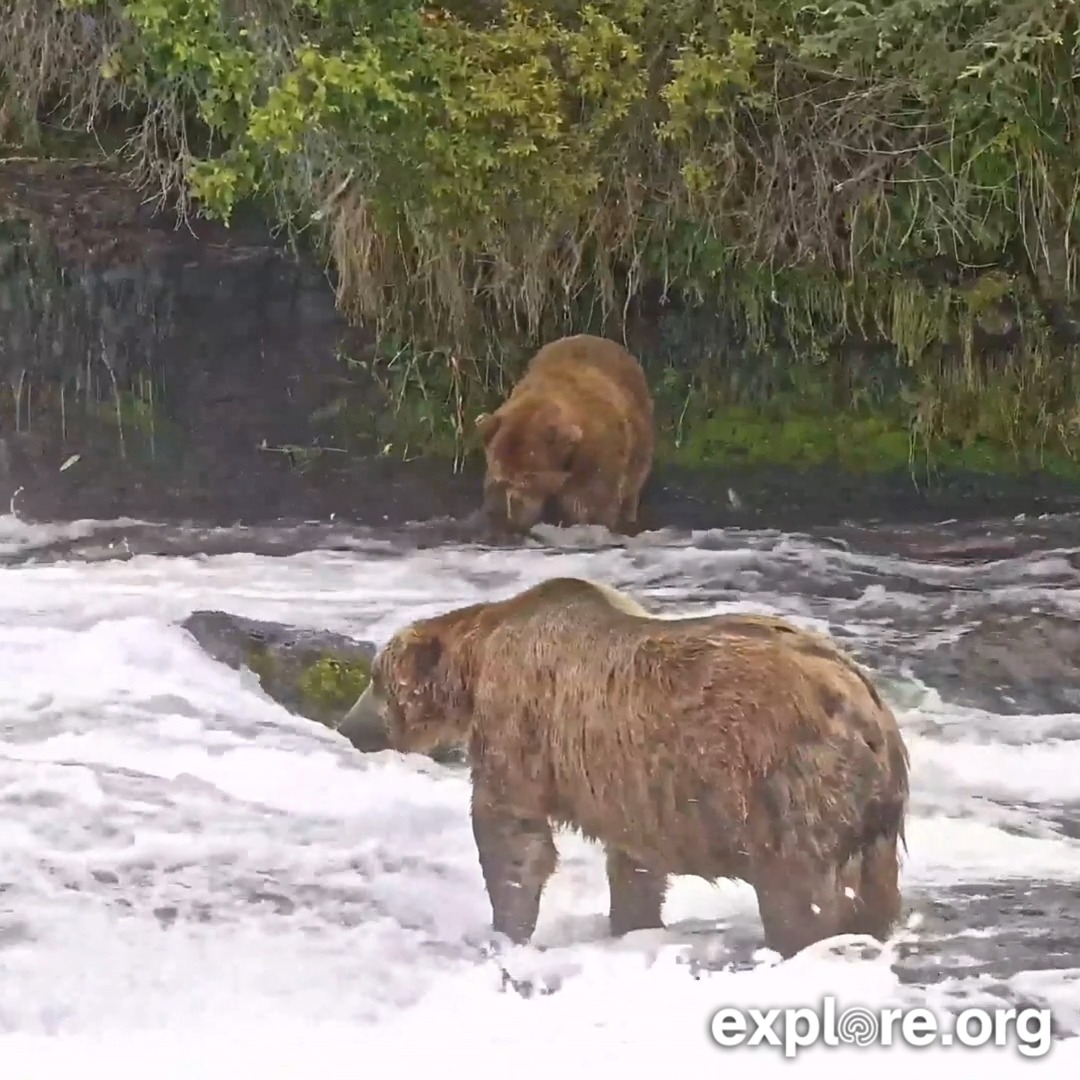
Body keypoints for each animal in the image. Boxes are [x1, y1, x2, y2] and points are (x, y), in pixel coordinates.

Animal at [337, 577, 910, 959]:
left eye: (376, 678)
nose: (347, 726)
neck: (477, 665)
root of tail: (874, 714)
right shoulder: (633, 786)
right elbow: (635, 868)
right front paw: (633, 924)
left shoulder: (519, 725)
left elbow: (512, 836)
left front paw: (507, 927)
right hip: (868, 825)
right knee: (872, 891)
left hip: (786, 784)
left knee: (798, 891)